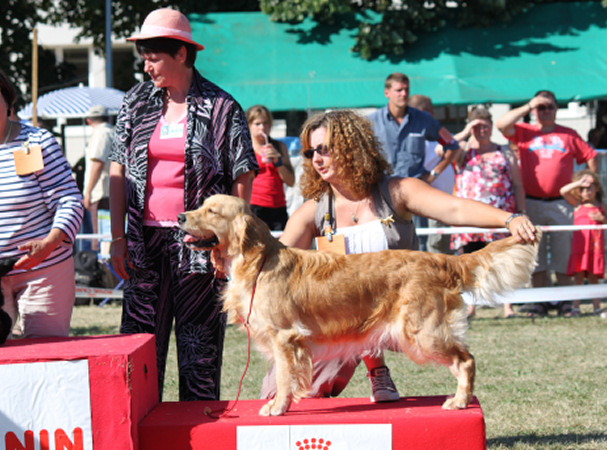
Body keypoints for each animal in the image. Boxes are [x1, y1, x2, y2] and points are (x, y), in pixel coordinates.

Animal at [178, 195, 540, 416]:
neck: (257, 261)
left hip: (422, 332)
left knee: (466, 360)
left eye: (212, 211)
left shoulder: (285, 337)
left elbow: (283, 376)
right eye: (202, 205)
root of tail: (441, 259)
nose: (180, 216)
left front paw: (278, 407)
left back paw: (460, 401)